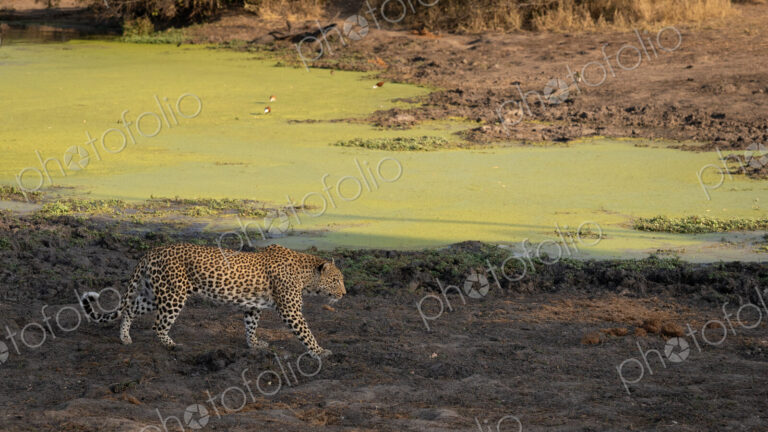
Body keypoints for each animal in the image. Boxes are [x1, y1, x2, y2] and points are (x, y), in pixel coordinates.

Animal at [79, 243, 345, 359]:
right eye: (336, 280)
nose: (344, 294)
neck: (306, 276)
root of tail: (152, 250)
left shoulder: (253, 306)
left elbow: (251, 326)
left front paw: (254, 344)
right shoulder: (290, 311)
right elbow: (306, 333)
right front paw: (320, 351)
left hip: (155, 294)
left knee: (130, 310)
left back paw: (125, 337)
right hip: (174, 295)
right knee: (158, 325)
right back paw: (172, 345)